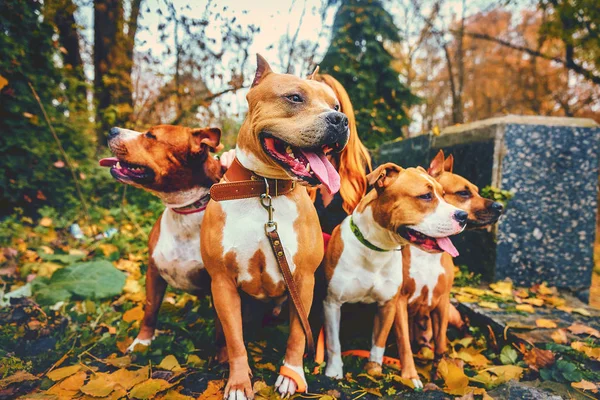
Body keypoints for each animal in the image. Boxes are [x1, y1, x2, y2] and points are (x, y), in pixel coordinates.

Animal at [99, 125, 224, 354]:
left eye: (150, 135)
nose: (112, 129)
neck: (185, 211)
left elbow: (224, 329)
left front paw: (223, 358)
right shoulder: (153, 272)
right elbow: (150, 310)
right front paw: (142, 342)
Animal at [200, 54, 350, 398]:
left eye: (336, 105)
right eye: (294, 98)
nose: (340, 120)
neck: (265, 188)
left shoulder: (303, 280)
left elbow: (297, 334)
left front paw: (291, 374)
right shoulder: (222, 283)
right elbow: (236, 339)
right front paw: (238, 382)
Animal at [322, 162, 466, 388]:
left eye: (443, 194)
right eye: (426, 196)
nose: (463, 216)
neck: (376, 249)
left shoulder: (388, 305)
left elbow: (379, 343)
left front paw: (374, 370)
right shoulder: (332, 303)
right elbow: (333, 342)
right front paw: (334, 371)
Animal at [396, 150, 504, 376]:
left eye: (477, 191)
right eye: (463, 193)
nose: (500, 207)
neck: (426, 250)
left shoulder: (442, 303)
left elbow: (441, 343)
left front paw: (440, 371)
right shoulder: (399, 302)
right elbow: (404, 342)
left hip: (452, 312)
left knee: (462, 324)